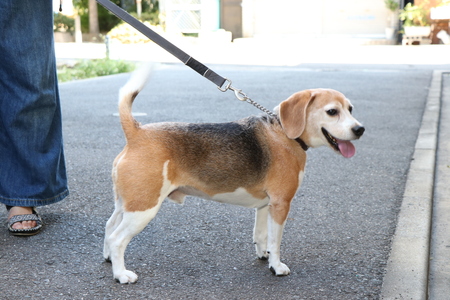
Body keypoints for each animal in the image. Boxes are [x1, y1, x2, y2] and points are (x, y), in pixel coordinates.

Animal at [103, 66, 364, 284]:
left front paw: (263, 255)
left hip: (127, 204)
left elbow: (261, 234)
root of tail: (137, 133)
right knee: (117, 239)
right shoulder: (281, 204)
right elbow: (276, 240)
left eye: (351, 109)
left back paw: (108, 259)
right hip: (143, 209)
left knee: (109, 227)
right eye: (332, 112)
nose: (360, 129)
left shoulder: (265, 205)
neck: (284, 132)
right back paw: (121, 274)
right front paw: (277, 266)